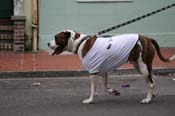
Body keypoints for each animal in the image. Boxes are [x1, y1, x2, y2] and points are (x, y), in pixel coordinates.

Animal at [47, 29, 175, 104]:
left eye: (56, 38)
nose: (48, 43)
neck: (80, 43)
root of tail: (147, 38)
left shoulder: (93, 72)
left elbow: (93, 89)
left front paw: (90, 100)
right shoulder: (103, 71)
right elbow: (104, 87)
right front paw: (113, 92)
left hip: (143, 67)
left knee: (151, 83)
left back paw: (147, 99)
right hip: (140, 66)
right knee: (153, 79)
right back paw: (152, 95)